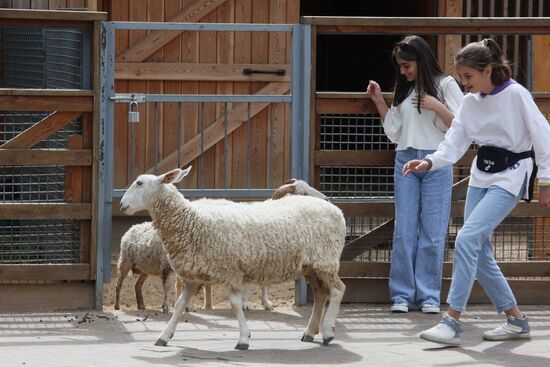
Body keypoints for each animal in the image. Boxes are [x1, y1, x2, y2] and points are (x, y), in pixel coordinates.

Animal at [121, 167, 348, 350]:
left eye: (139, 183)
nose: (122, 205)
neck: (193, 222)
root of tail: (336, 210)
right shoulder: (193, 277)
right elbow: (179, 305)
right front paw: (164, 336)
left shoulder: (231, 271)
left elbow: (235, 304)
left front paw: (243, 339)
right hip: (311, 266)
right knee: (320, 295)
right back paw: (310, 332)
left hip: (326, 261)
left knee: (337, 290)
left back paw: (328, 331)